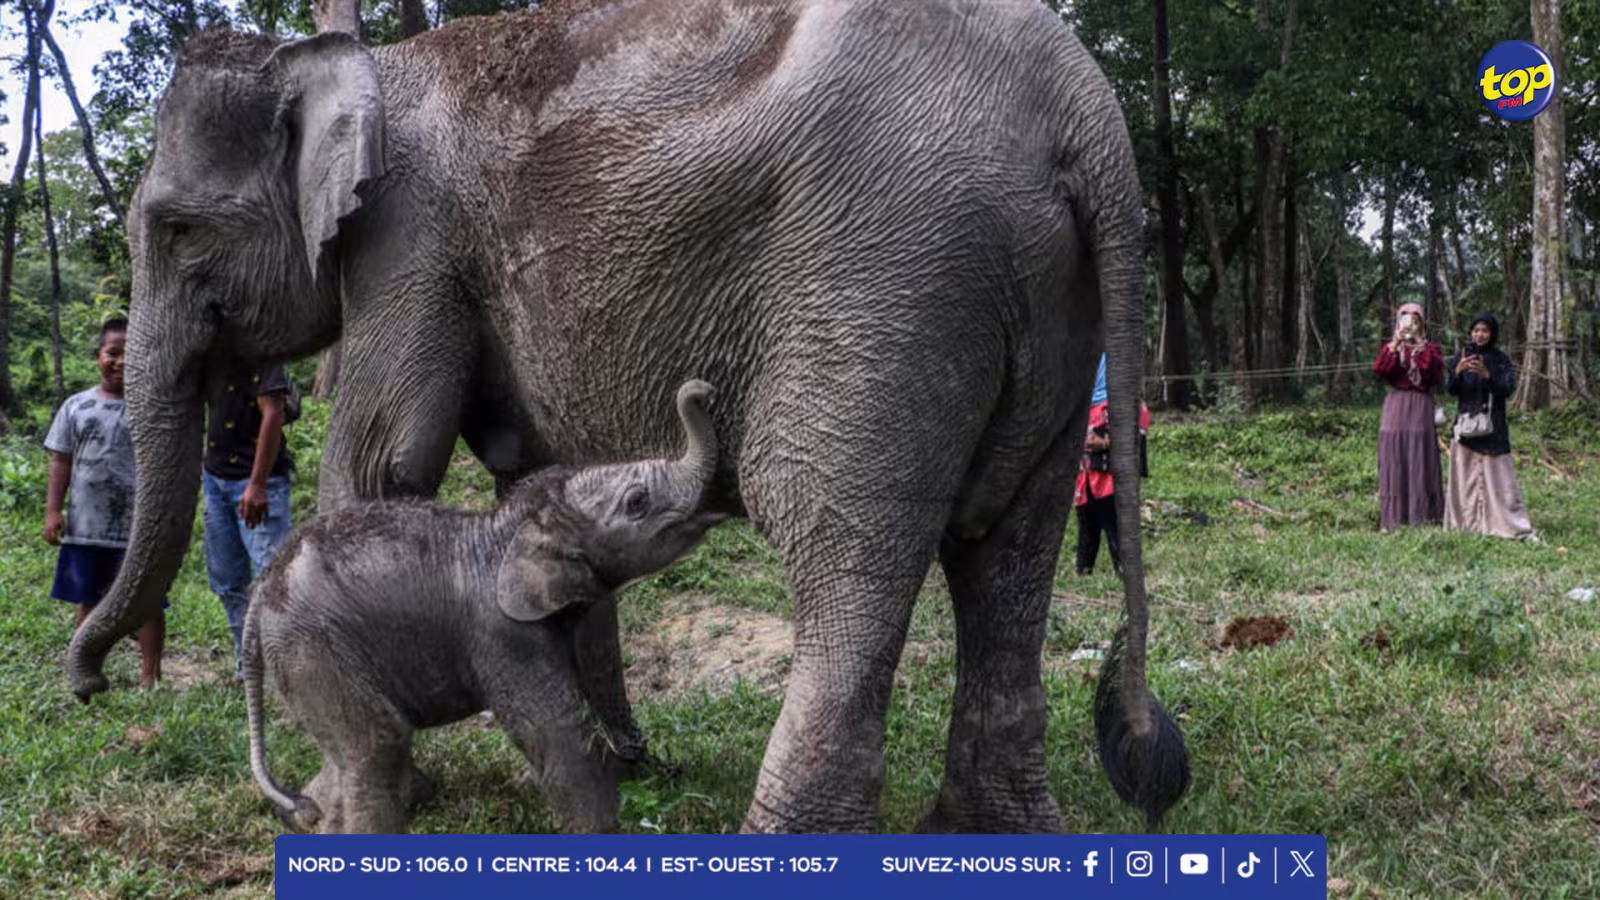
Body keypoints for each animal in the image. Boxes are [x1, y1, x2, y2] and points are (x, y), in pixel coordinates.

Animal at [246, 380, 725, 834]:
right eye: (637, 501)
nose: (703, 389)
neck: (511, 525)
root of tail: (260, 592)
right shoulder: (503, 633)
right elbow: (558, 731)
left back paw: (310, 815)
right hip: (315, 650)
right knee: (376, 747)